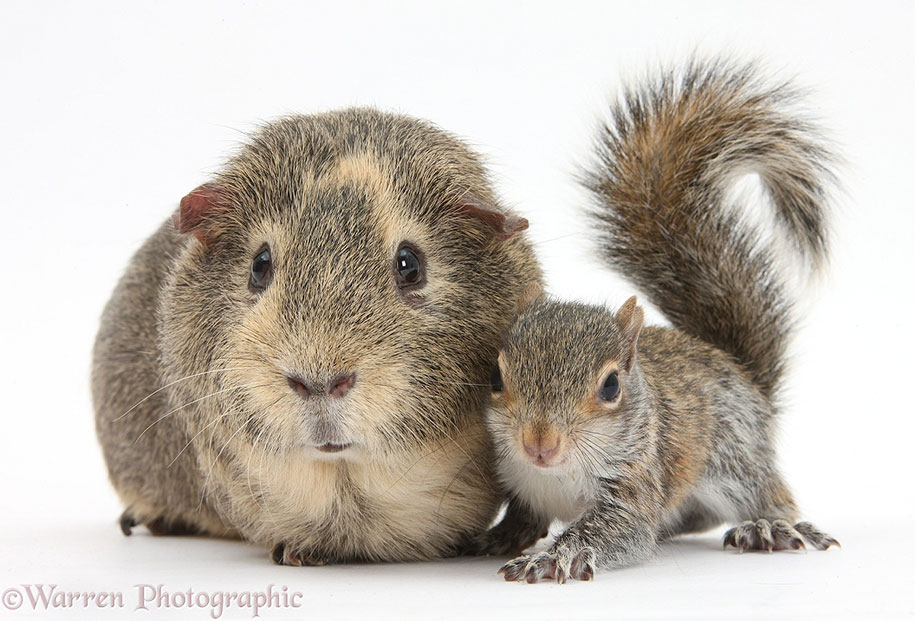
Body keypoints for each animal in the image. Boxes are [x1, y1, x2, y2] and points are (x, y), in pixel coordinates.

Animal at [486, 58, 836, 580]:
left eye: (611, 386)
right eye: (496, 377)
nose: (539, 444)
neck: (555, 476)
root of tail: (744, 377)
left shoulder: (636, 482)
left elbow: (622, 530)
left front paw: (554, 556)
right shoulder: (520, 482)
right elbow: (525, 516)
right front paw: (499, 538)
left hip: (734, 456)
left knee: (771, 493)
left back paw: (769, 526)